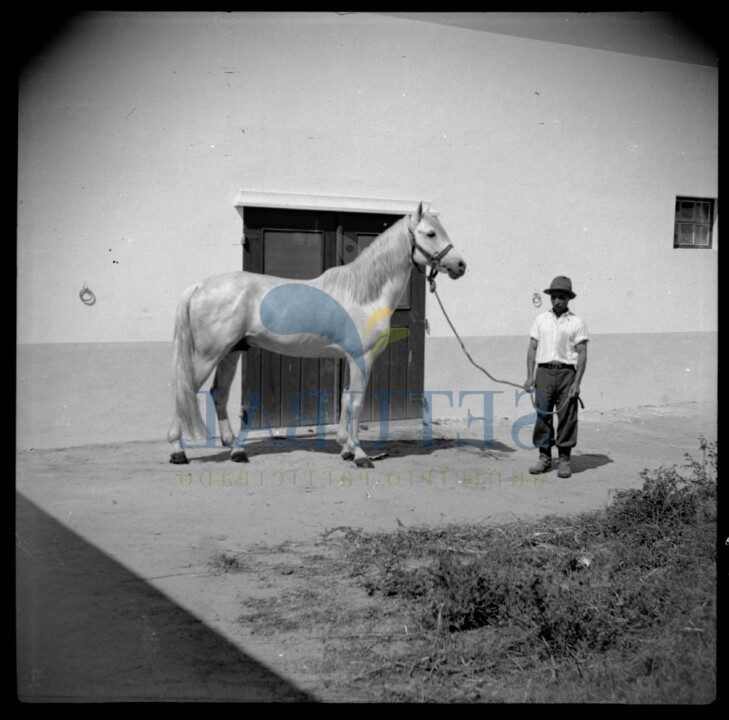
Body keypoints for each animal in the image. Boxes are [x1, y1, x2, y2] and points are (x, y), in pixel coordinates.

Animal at [167, 201, 466, 467]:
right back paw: (178, 451)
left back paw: (236, 450)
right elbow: (357, 402)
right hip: (208, 355)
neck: (364, 295)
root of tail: (199, 286)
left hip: (231, 352)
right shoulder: (362, 357)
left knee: (219, 393)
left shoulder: (349, 358)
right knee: (185, 390)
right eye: (431, 233)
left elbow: (345, 398)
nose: (460, 265)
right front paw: (360, 454)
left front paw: (345, 448)